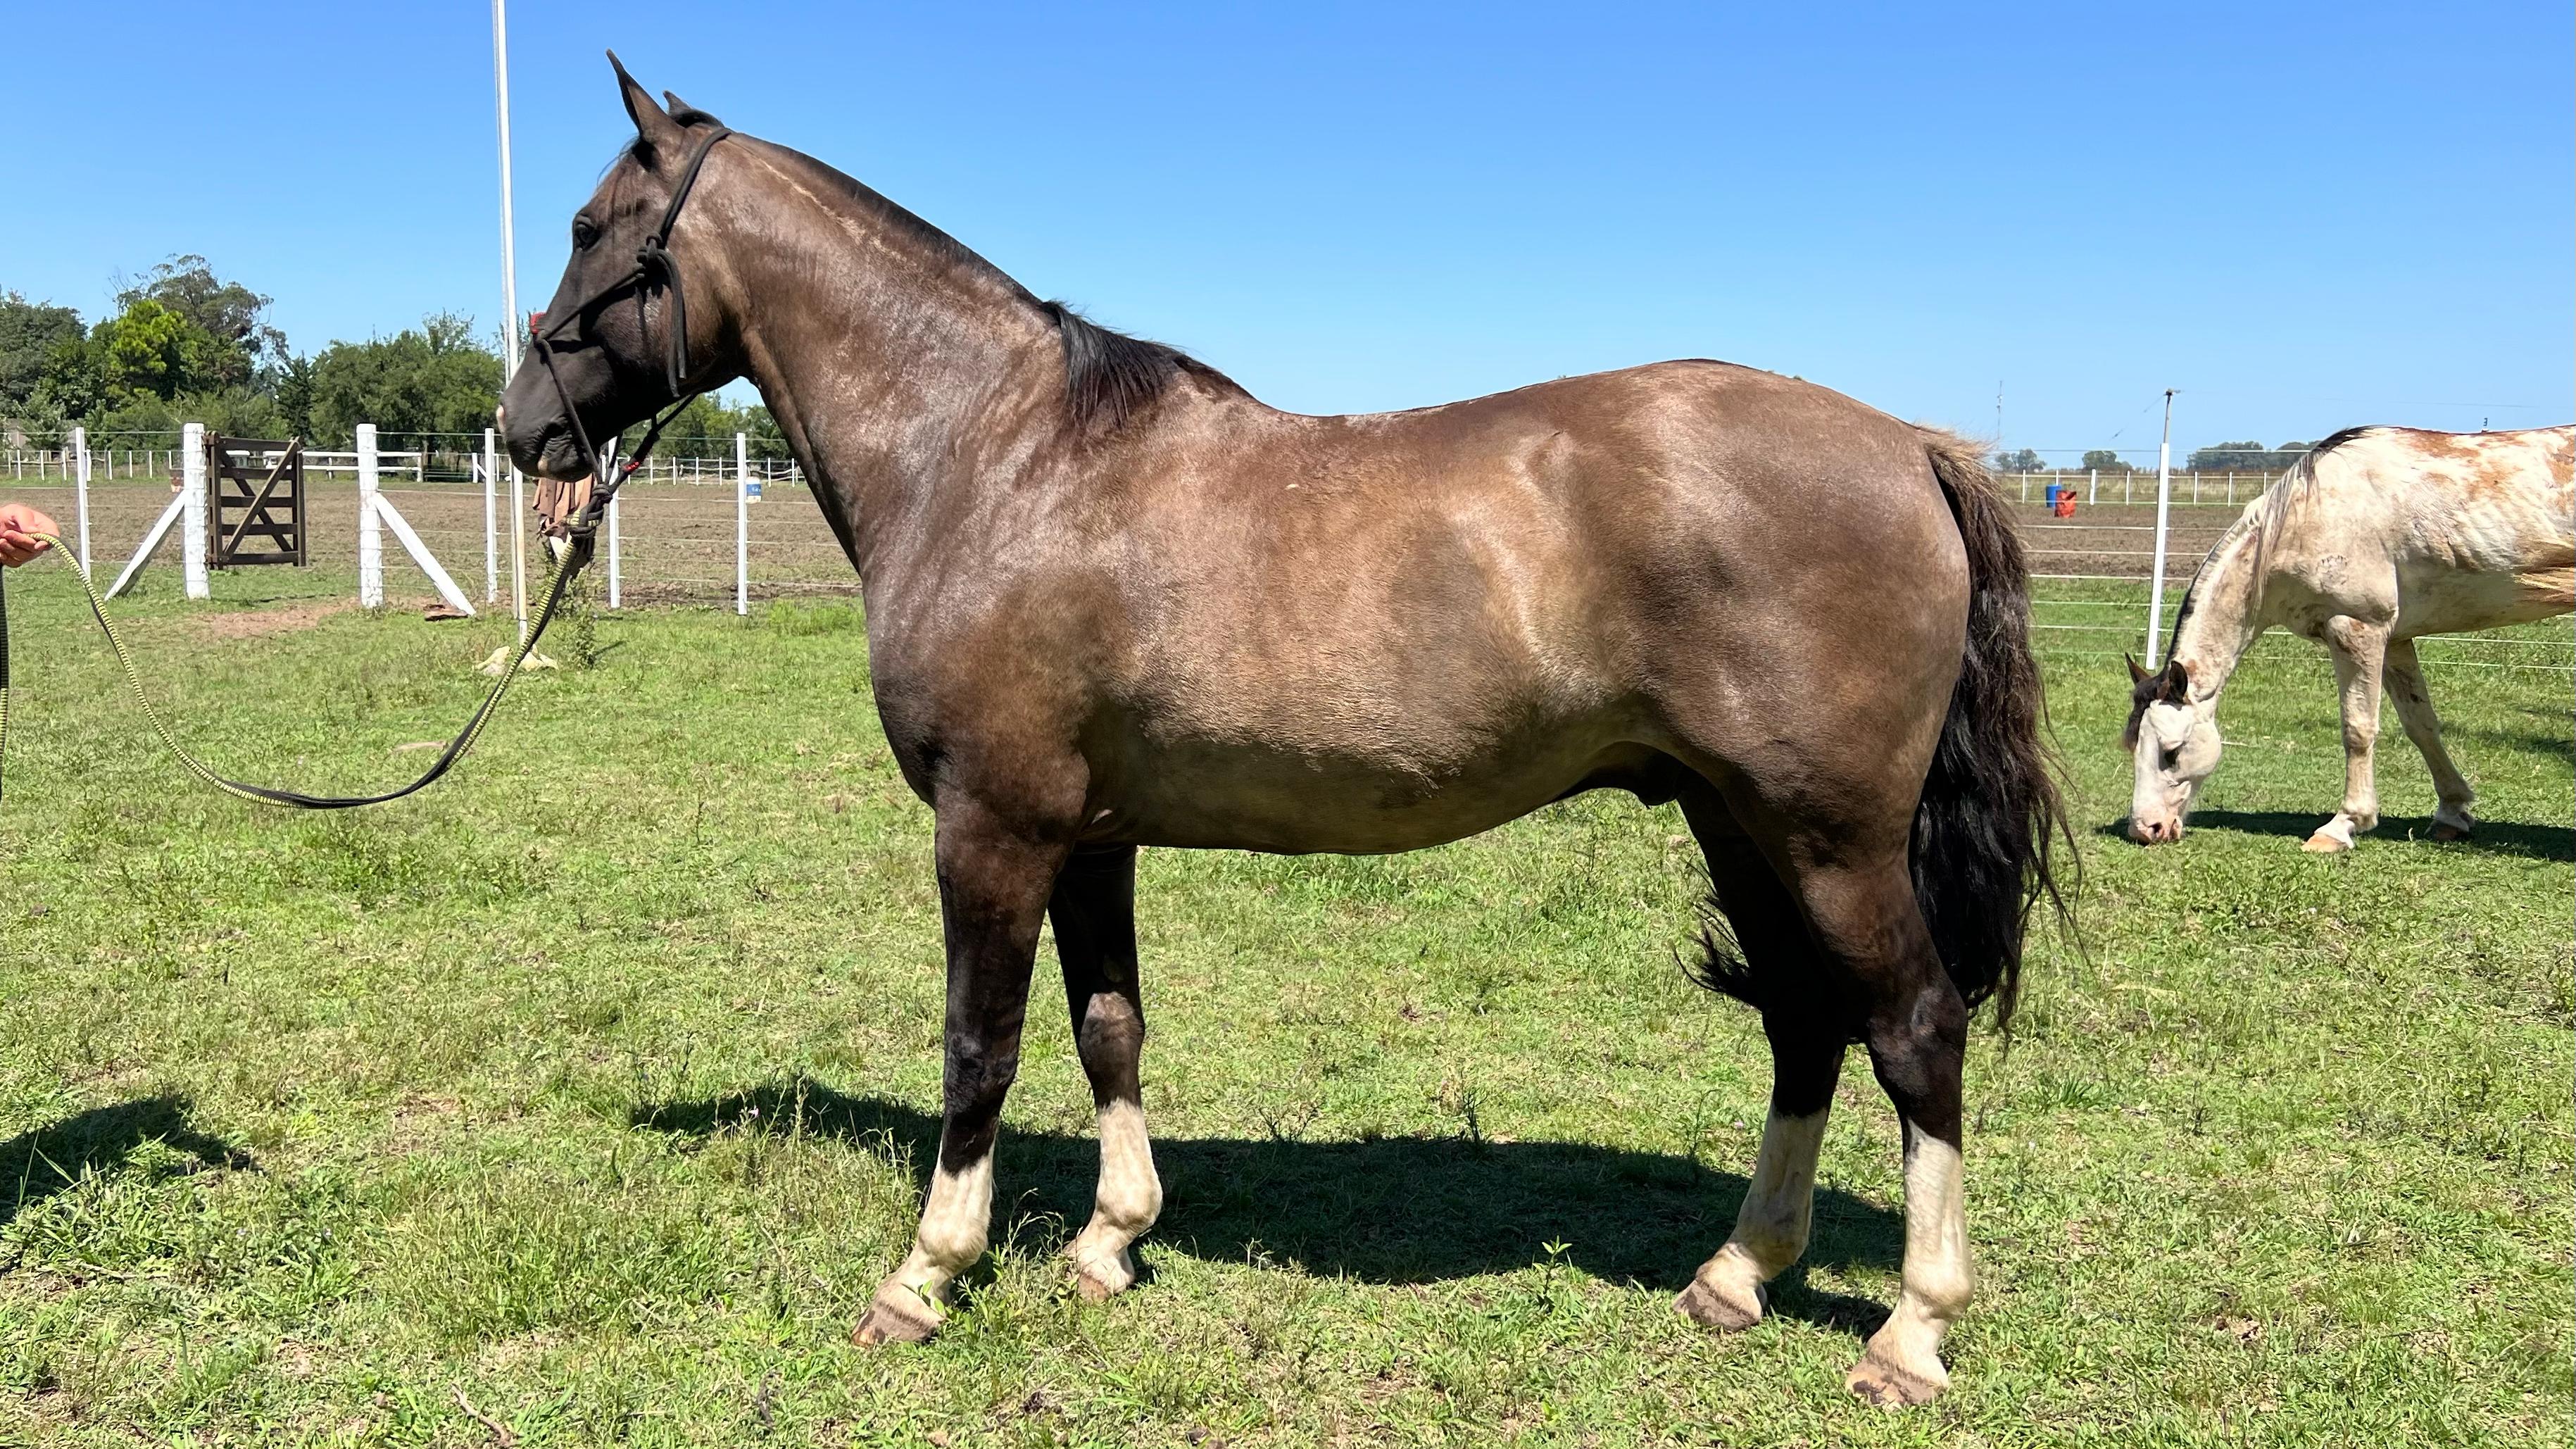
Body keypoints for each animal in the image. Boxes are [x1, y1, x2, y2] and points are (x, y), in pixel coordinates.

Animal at [500, 57, 2066, 1407]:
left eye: (586, 229)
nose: (524, 431)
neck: (993, 459)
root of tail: (1909, 447)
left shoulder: (991, 826)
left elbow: (977, 1045)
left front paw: (926, 1275)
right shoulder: (1088, 837)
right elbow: (1109, 1026)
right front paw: (1110, 1242)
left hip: (1828, 836)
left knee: (1911, 1029)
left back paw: (1908, 1332)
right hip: (1732, 817)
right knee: (1804, 1020)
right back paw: (1735, 1275)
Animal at [2125, 424, 2574, 851]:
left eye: (2172, 751)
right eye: (2132, 745)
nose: (2145, 829)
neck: (2305, 517)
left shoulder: (2357, 630)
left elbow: (2358, 730)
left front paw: (2343, 826)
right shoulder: (2395, 641)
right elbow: (2421, 725)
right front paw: (2452, 812)